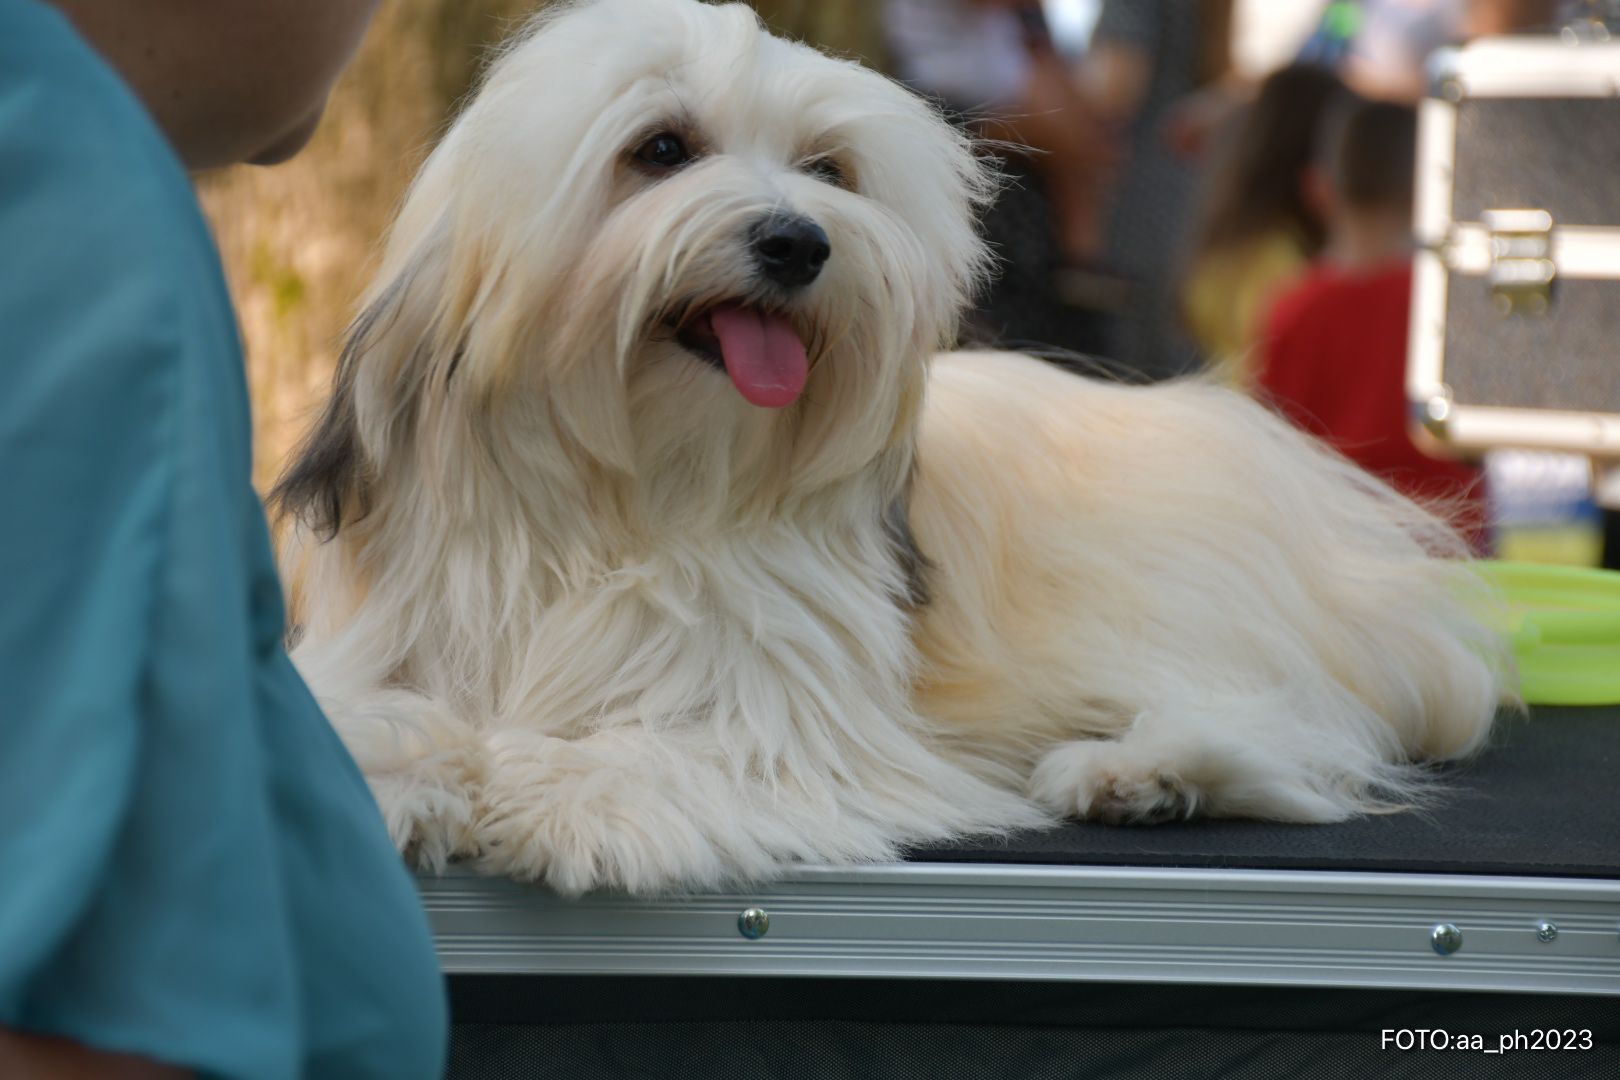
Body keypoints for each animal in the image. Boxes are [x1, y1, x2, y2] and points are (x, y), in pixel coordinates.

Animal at [272, 0, 1509, 893]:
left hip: (1194, 605)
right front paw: (408, 773)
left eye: (830, 170)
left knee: (1293, 718)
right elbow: (363, 722)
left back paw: (1140, 770)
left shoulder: (781, 712)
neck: (626, 496)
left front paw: (561, 786)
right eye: (662, 148)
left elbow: (683, 744)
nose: (797, 241)